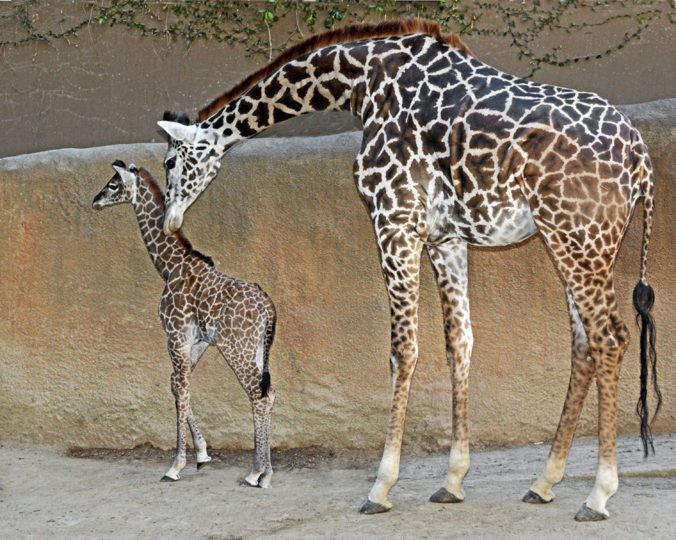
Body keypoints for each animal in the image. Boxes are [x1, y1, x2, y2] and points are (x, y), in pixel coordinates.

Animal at [93, 161, 278, 490]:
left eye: (113, 185)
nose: (95, 201)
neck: (169, 267)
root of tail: (268, 310)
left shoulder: (175, 333)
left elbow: (181, 387)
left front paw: (175, 465)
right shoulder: (198, 341)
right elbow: (177, 385)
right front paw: (202, 453)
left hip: (236, 349)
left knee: (259, 395)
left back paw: (258, 473)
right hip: (257, 349)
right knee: (268, 393)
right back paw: (263, 471)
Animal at [156, 20, 656, 520]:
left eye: (170, 161)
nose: (171, 221)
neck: (361, 84)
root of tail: (640, 158)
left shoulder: (394, 222)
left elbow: (403, 349)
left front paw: (381, 486)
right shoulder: (445, 238)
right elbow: (460, 343)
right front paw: (453, 480)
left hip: (577, 237)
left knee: (610, 337)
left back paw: (598, 494)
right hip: (575, 242)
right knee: (584, 343)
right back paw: (544, 481)